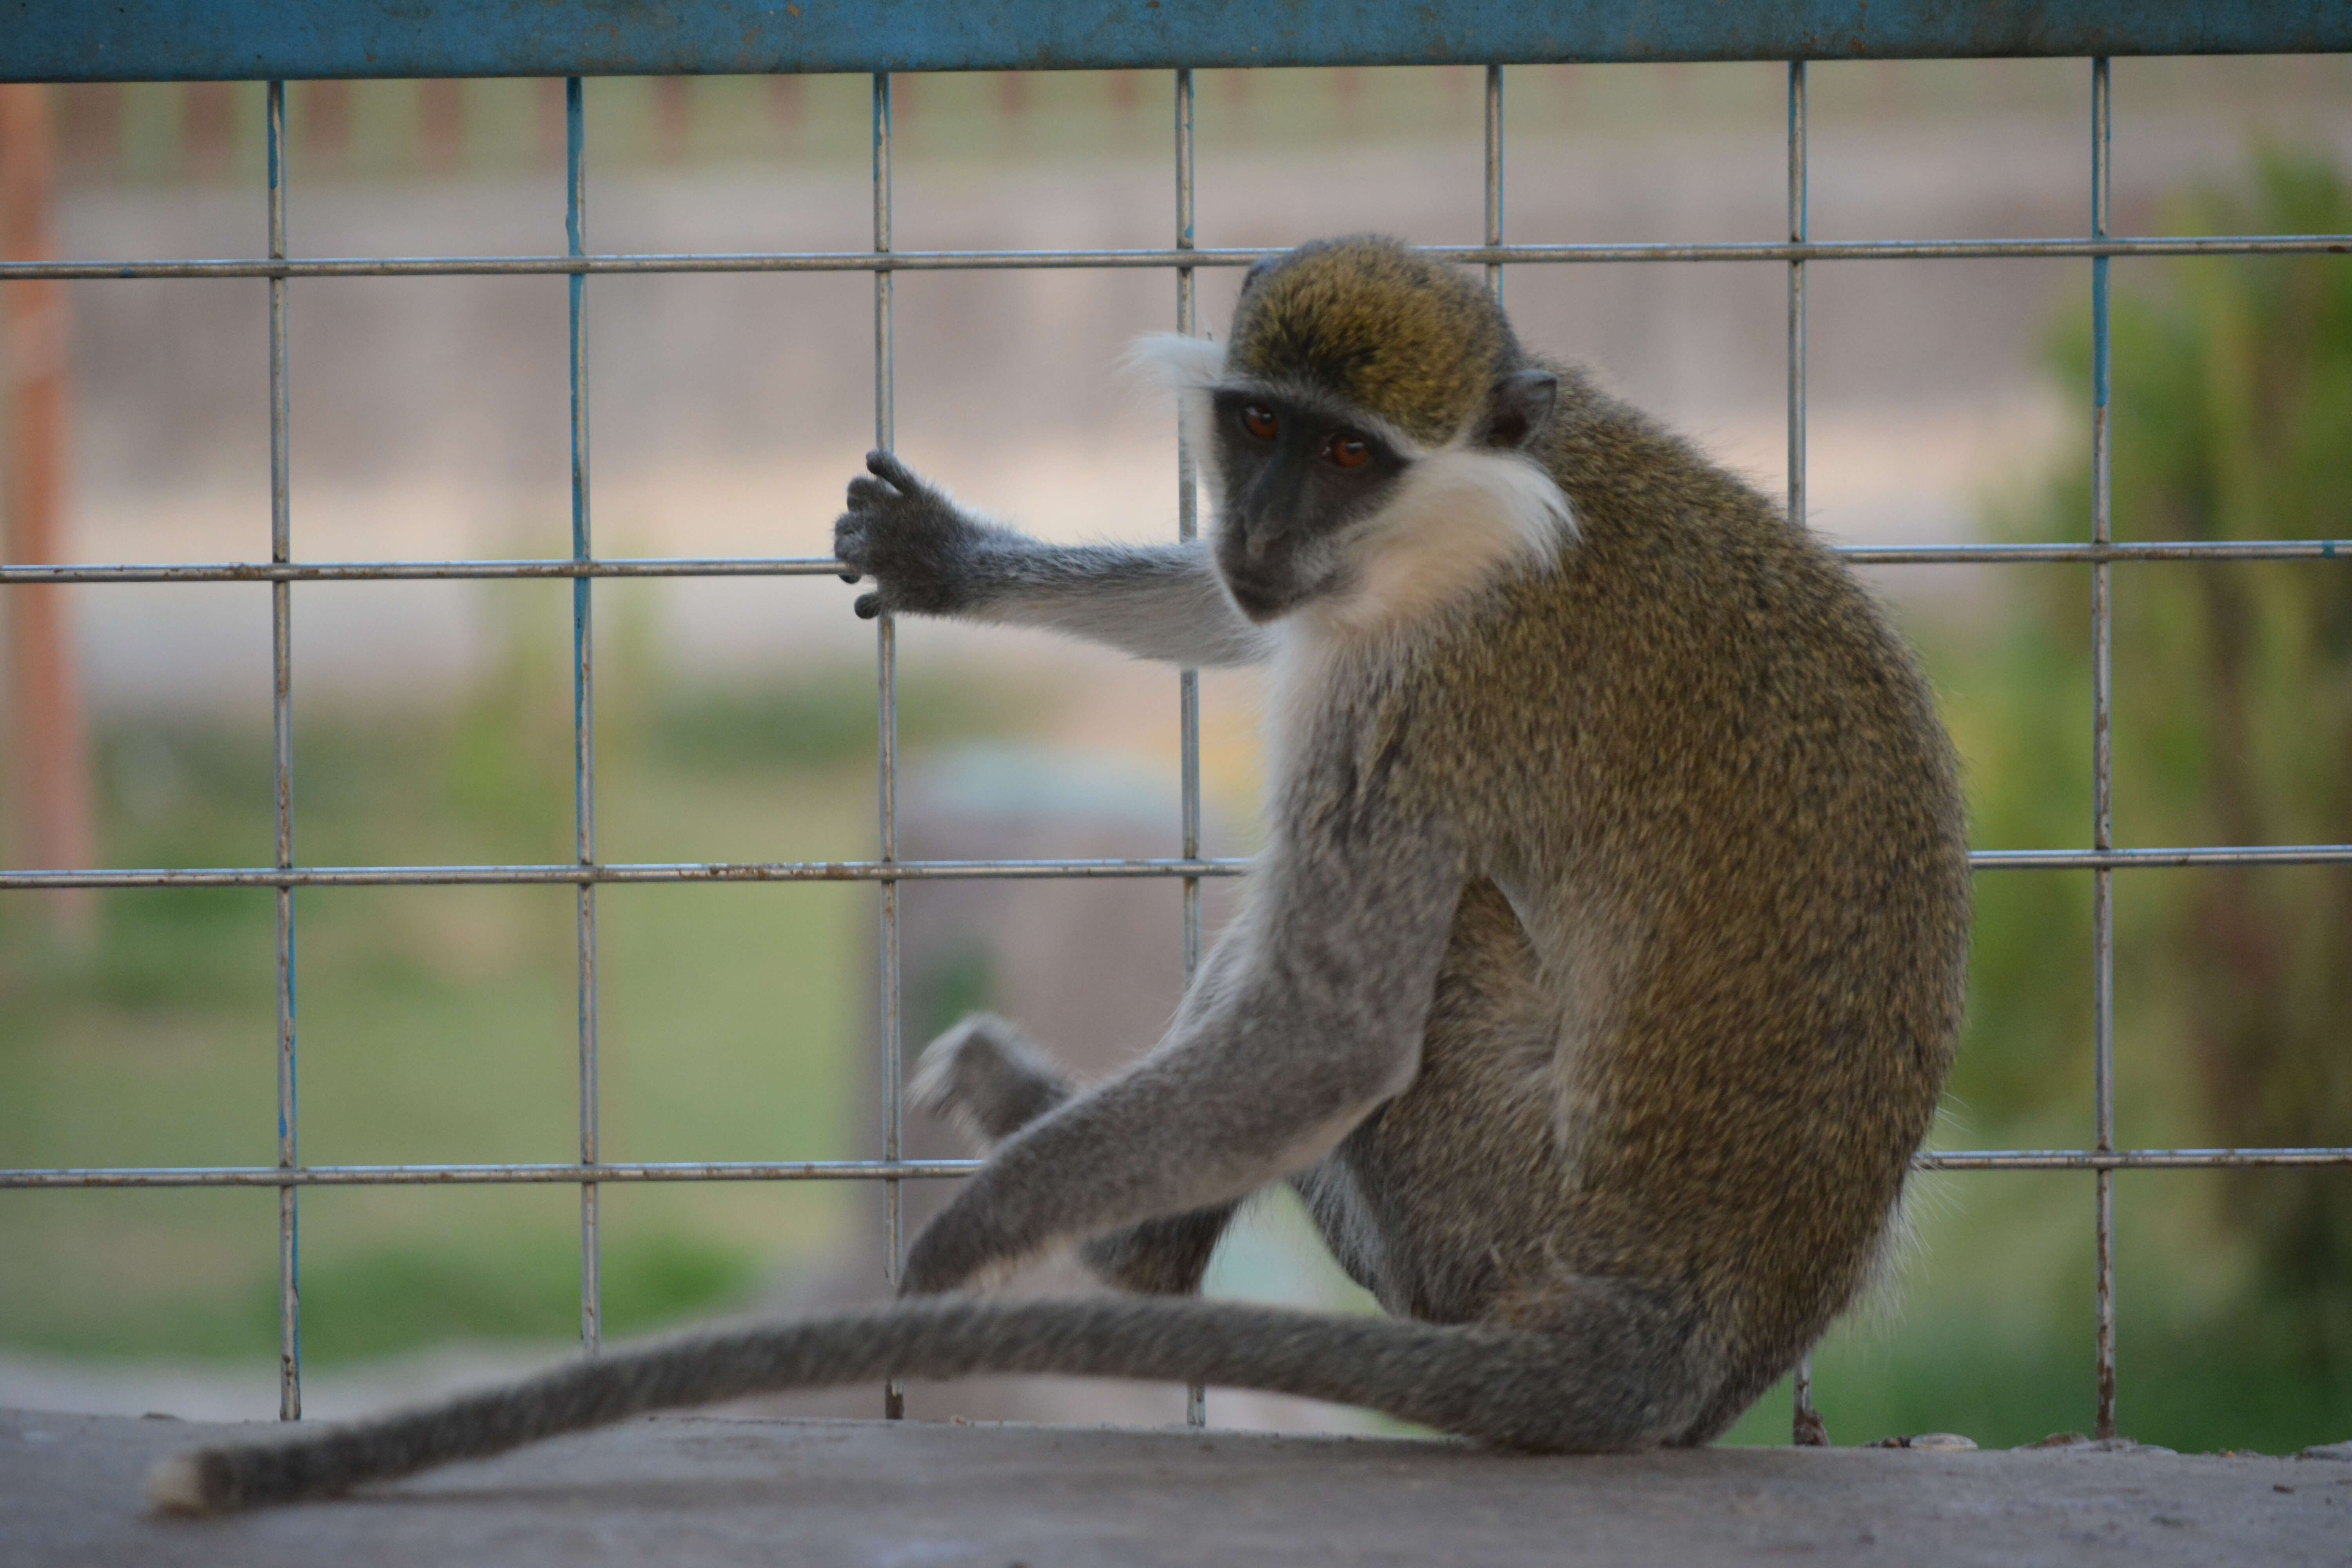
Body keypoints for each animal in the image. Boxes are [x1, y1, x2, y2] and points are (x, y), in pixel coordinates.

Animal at [152, 240, 1966, 1514]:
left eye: (1351, 459)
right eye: (1258, 429)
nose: (1267, 529)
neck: (1492, 501)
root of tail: (1687, 1333)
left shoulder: (1420, 687)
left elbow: (1331, 1033)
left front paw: (978, 1232)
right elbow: (1231, 623)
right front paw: (958, 557)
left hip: (1486, 1211)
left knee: (1386, 971)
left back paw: (1133, 1252)